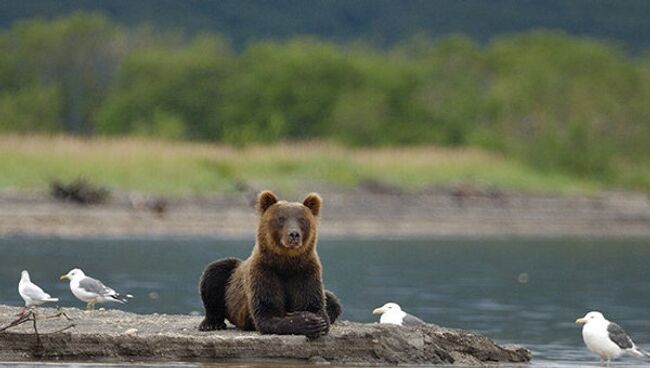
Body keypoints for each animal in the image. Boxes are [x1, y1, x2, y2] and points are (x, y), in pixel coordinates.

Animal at [196, 191, 340, 338]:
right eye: (281, 218)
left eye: (302, 219)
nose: (294, 234)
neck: (286, 263)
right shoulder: (264, 270)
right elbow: (267, 312)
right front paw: (307, 321)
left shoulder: (305, 271)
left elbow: (314, 305)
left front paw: (315, 320)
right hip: (231, 280)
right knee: (215, 272)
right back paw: (211, 323)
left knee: (333, 300)